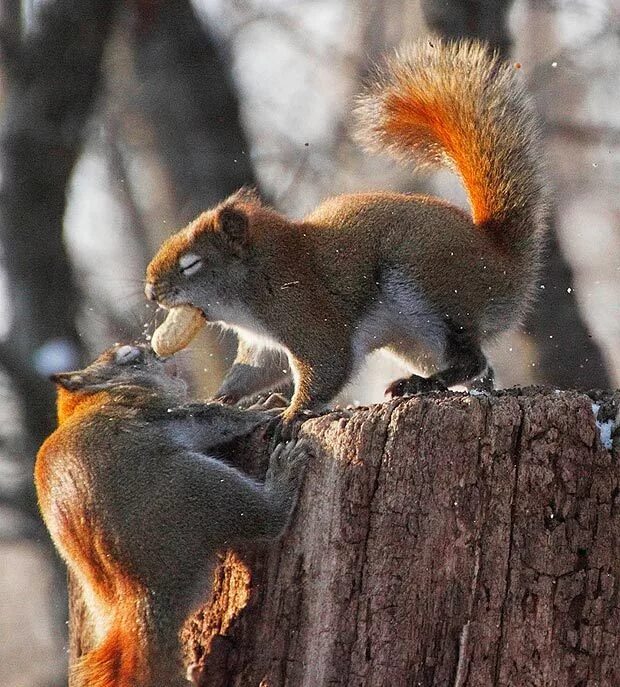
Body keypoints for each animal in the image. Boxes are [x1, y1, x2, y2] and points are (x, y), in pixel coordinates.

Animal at [34, 344, 306, 687]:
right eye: (132, 358)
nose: (154, 349)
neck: (93, 397)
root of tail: (140, 595)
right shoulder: (163, 411)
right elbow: (220, 417)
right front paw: (263, 409)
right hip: (201, 488)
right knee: (269, 519)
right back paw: (285, 474)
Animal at [144, 37, 548, 428]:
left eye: (191, 263)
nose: (150, 292)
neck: (266, 270)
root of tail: (504, 261)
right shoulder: (264, 347)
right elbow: (252, 374)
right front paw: (219, 399)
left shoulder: (308, 316)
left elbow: (327, 366)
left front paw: (289, 414)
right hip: (413, 342)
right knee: (483, 372)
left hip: (433, 296)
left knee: (472, 361)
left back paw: (422, 384)